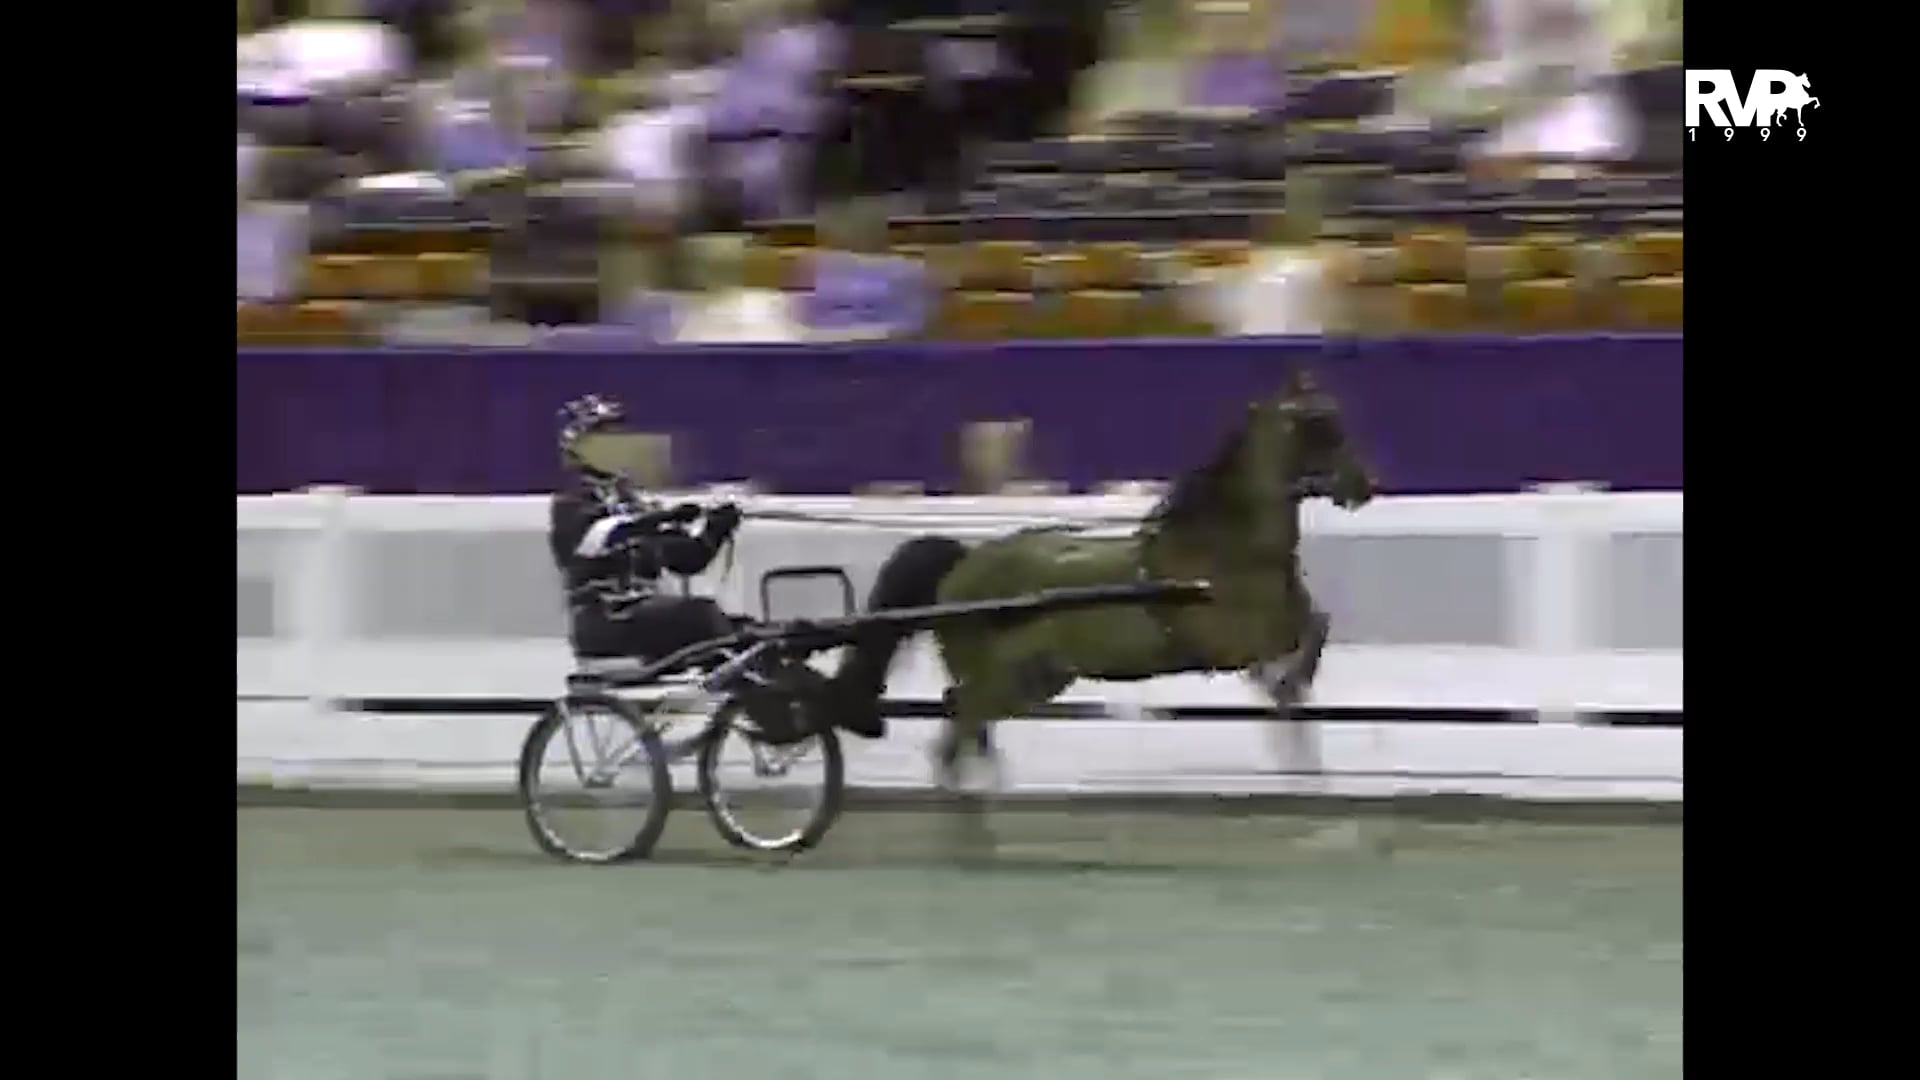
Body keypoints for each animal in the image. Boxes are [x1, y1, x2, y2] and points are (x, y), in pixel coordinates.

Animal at [821, 368, 1377, 840]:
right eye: (1318, 423)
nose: (1363, 486)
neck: (1224, 549)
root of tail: (963, 563)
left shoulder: (1280, 623)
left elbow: (1317, 626)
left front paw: (1291, 702)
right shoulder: (1229, 641)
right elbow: (1292, 647)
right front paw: (1287, 689)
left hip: (1036, 679)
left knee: (963, 722)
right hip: (1002, 676)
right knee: (963, 719)